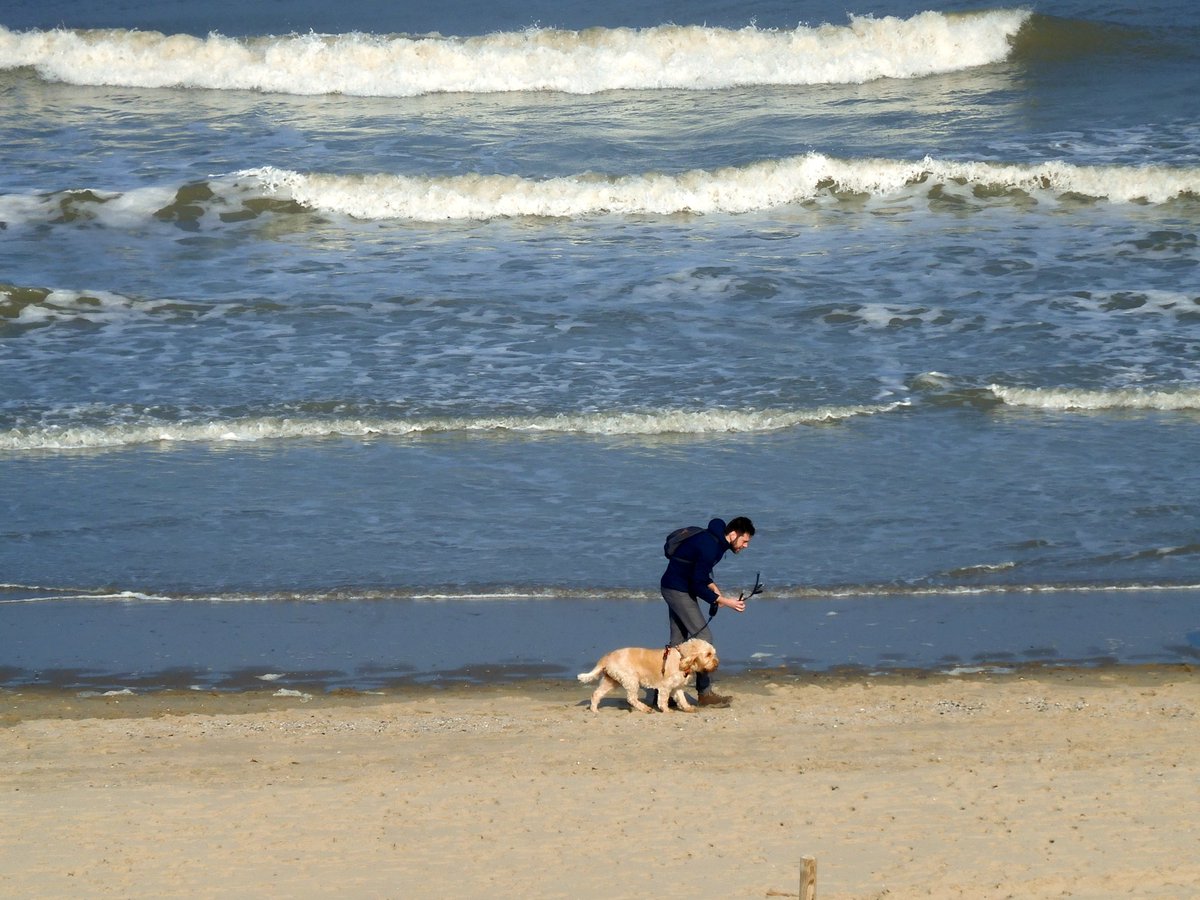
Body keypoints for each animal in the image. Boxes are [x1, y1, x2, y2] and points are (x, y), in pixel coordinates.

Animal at [576, 638, 715, 715]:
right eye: (708, 654)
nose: (716, 663)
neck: (682, 657)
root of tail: (607, 657)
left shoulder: (677, 687)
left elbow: (682, 699)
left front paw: (688, 708)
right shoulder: (665, 687)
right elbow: (663, 700)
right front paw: (666, 710)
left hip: (611, 681)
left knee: (596, 694)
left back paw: (594, 710)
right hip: (631, 680)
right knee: (631, 698)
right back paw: (645, 708)